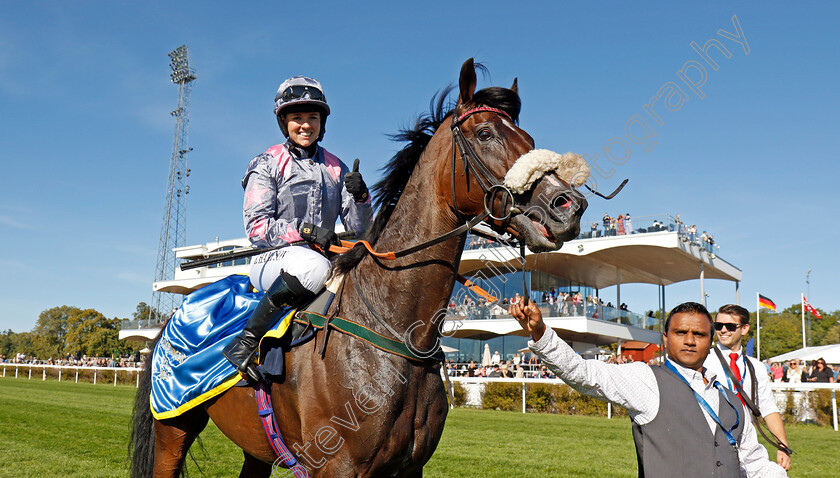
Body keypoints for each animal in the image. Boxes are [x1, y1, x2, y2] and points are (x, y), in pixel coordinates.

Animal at [133, 58, 592, 476]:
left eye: (528, 138)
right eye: (485, 133)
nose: (568, 206)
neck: (399, 332)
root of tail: (173, 315)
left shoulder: (409, 469)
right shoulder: (337, 467)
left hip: (255, 445)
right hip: (174, 428)